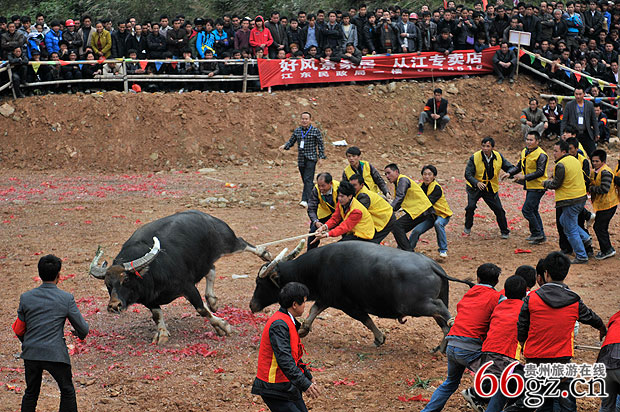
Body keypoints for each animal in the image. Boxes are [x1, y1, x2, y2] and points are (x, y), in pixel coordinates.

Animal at [88, 211, 270, 342]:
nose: (114, 306)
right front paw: (162, 334)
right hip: (203, 261)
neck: (153, 271)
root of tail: (206, 217)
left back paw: (266, 255)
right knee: (211, 270)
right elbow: (157, 315)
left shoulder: (187, 287)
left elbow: (201, 309)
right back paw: (212, 300)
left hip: (227, 242)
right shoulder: (149, 300)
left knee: (244, 244)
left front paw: (223, 326)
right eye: (107, 284)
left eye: (125, 279)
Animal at [249, 240, 472, 350]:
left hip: (419, 305)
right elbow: (313, 309)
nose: (252, 305)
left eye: (260, 283)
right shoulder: (326, 298)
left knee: (443, 312)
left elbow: (365, 319)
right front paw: (303, 329)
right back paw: (441, 347)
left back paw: (448, 331)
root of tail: (433, 266)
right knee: (443, 323)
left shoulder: (347, 304)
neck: (319, 265)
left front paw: (379, 338)